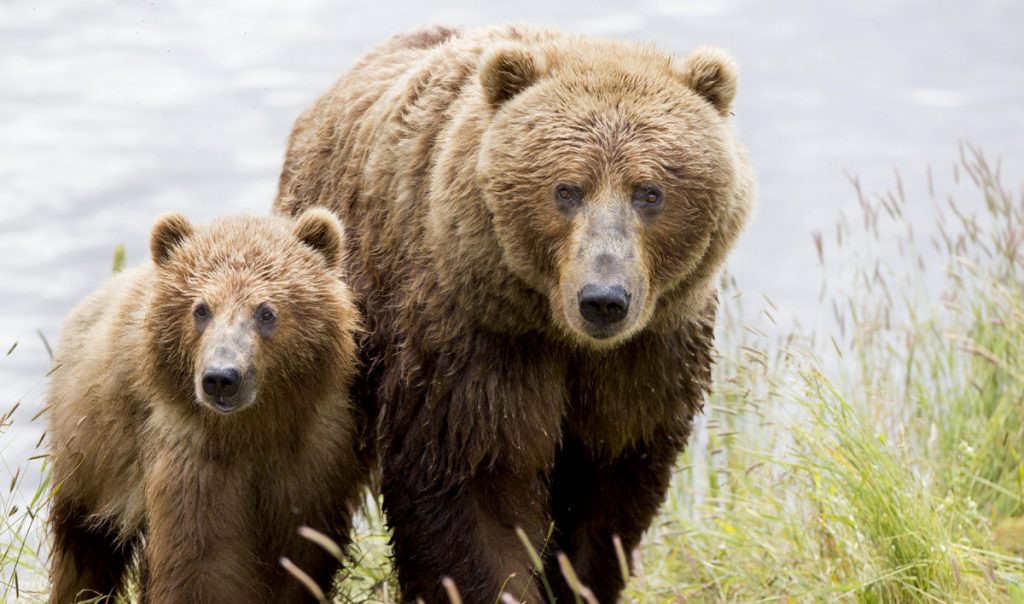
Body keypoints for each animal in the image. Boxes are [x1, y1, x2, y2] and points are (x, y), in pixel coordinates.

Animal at [276, 24, 757, 604]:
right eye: (566, 189)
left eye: (649, 192)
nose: (602, 299)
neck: (562, 334)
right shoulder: (478, 343)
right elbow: (476, 489)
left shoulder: (646, 358)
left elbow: (611, 494)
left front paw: (579, 579)